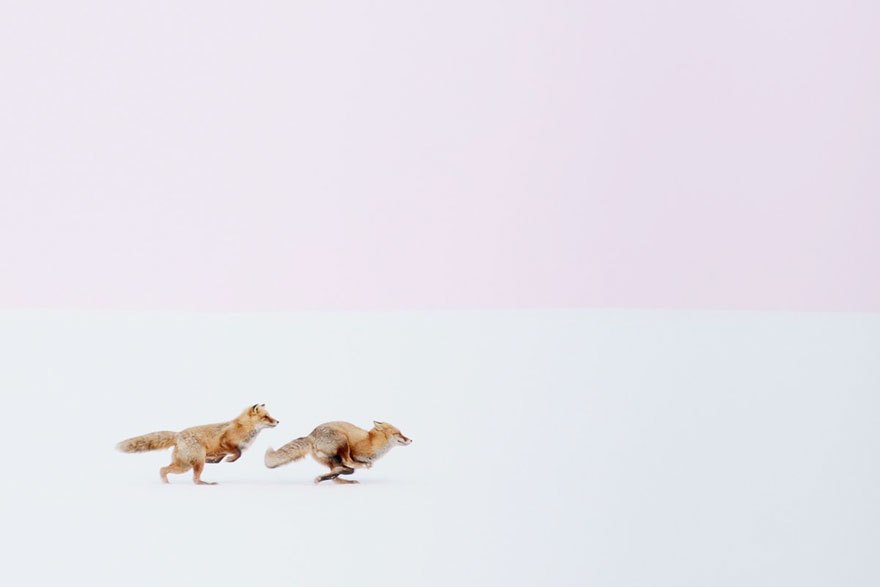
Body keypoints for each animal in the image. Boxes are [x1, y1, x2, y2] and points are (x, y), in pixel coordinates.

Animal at [116, 404, 279, 484]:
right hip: (192, 464)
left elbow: (220, 458)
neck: (244, 428)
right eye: (266, 417)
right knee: (191, 478)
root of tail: (178, 434)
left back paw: (167, 483)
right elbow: (237, 453)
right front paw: (230, 459)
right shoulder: (225, 442)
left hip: (186, 464)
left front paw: (216, 460)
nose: (278, 421)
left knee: (164, 469)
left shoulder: (220, 450)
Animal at [264, 420, 411, 484]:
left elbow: (346, 470)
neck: (371, 441)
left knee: (337, 475)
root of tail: (312, 435)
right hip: (343, 441)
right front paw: (364, 464)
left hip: (331, 459)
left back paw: (334, 479)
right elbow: (352, 464)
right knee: (348, 463)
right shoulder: (353, 451)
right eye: (398, 433)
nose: (411, 439)